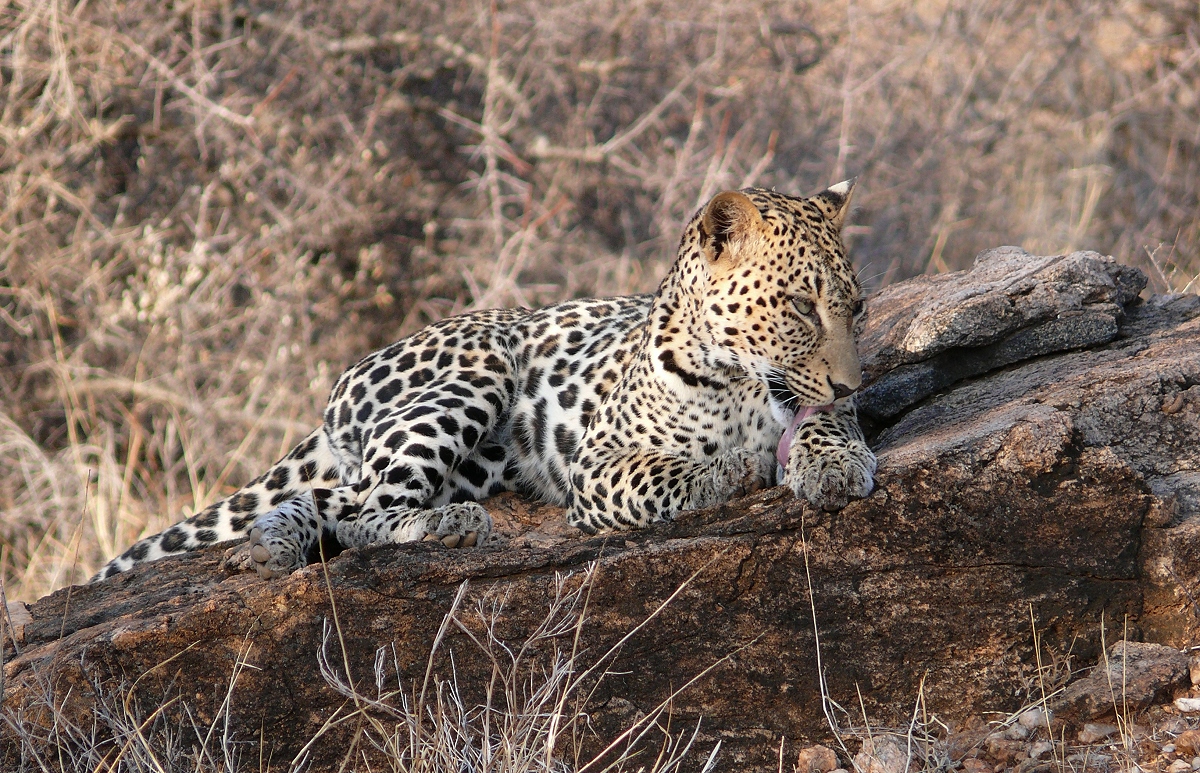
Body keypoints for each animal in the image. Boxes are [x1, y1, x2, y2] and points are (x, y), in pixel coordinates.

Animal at [93, 181, 878, 580]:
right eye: (799, 306)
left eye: (857, 308)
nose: (850, 383)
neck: (738, 379)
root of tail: (342, 385)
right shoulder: (599, 464)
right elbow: (670, 472)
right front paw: (735, 469)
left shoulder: (815, 404)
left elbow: (825, 427)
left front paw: (834, 464)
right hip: (472, 379)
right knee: (367, 512)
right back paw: (445, 527)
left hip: (476, 462)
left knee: (332, 500)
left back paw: (273, 543)